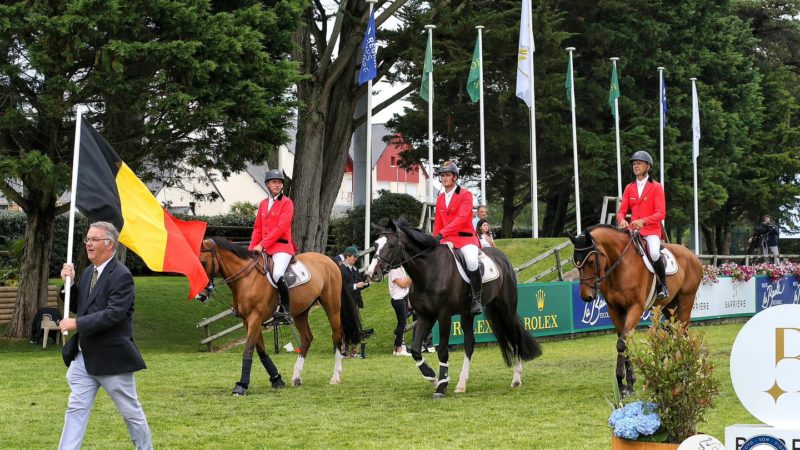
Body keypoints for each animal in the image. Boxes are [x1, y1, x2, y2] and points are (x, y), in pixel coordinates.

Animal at [198, 237, 360, 396]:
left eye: (203, 262)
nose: (201, 296)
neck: (247, 278)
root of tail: (328, 259)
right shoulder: (247, 321)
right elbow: (261, 351)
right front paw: (277, 379)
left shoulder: (255, 318)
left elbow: (248, 349)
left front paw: (241, 386)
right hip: (301, 312)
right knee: (307, 338)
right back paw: (296, 377)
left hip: (332, 306)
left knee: (337, 336)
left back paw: (335, 376)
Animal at [364, 220, 540, 400]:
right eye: (375, 245)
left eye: (392, 245)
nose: (372, 273)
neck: (429, 270)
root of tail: (502, 257)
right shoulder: (424, 316)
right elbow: (415, 350)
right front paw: (433, 378)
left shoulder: (444, 315)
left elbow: (442, 350)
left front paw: (441, 386)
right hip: (468, 314)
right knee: (470, 344)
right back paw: (462, 384)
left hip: (506, 308)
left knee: (514, 335)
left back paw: (516, 378)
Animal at [564, 225, 704, 398]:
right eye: (576, 264)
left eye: (590, 261)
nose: (586, 297)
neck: (620, 266)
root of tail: (692, 255)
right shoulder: (615, 310)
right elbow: (623, 343)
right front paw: (625, 385)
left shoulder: (635, 308)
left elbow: (622, 343)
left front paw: (625, 384)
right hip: (668, 307)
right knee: (674, 331)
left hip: (686, 301)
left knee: (681, 332)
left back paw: (686, 373)